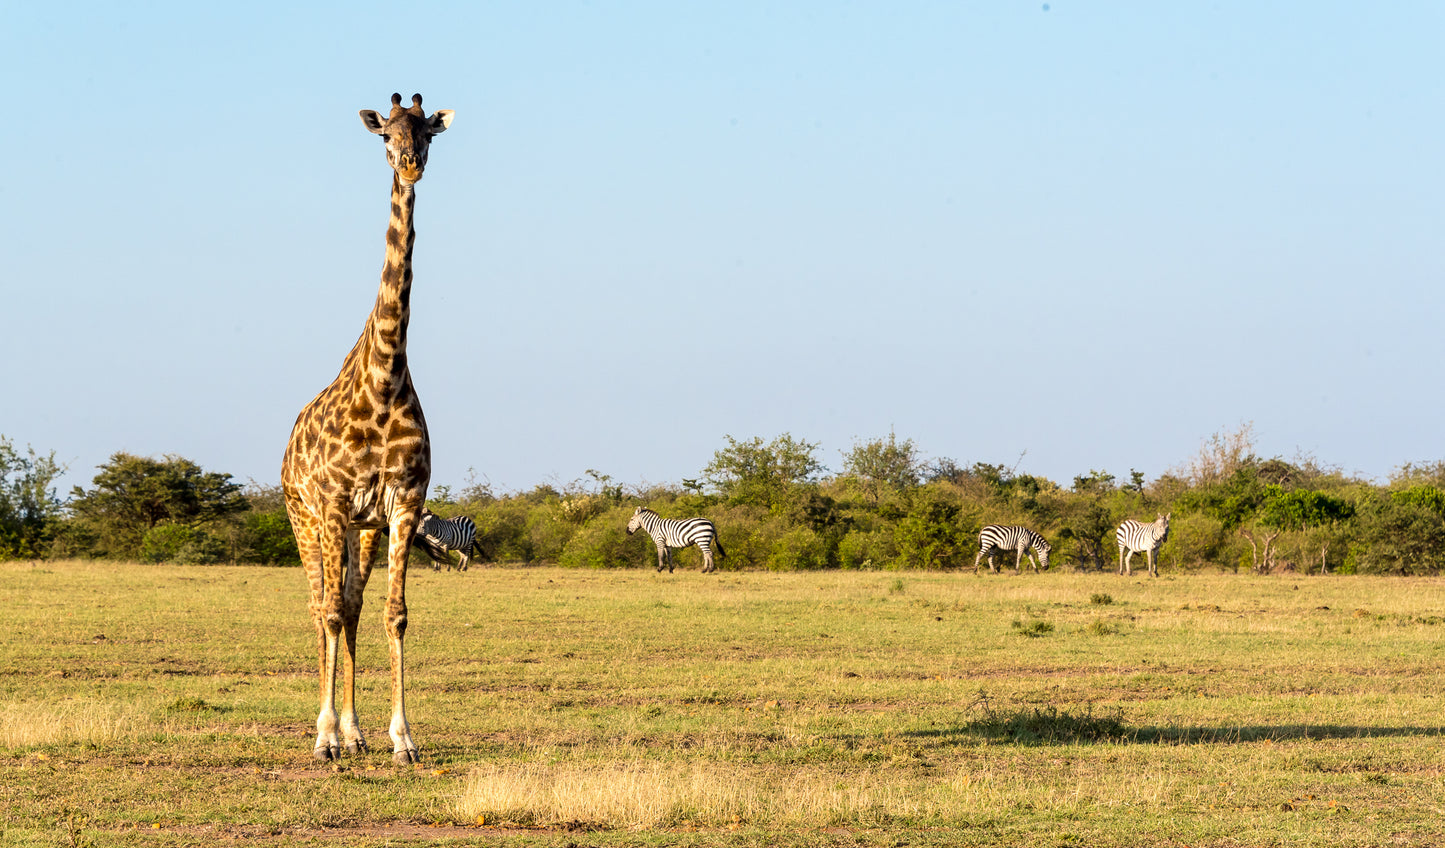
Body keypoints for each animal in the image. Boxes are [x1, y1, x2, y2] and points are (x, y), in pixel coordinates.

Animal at [284, 94, 453, 768]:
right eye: (385, 134)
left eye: (427, 130)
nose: (409, 164)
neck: (384, 377)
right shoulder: (331, 501)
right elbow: (329, 612)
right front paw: (323, 737)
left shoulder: (403, 503)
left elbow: (393, 613)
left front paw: (400, 738)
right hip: (304, 517)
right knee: (319, 606)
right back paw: (332, 732)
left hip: (363, 527)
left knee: (352, 604)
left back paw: (355, 733)